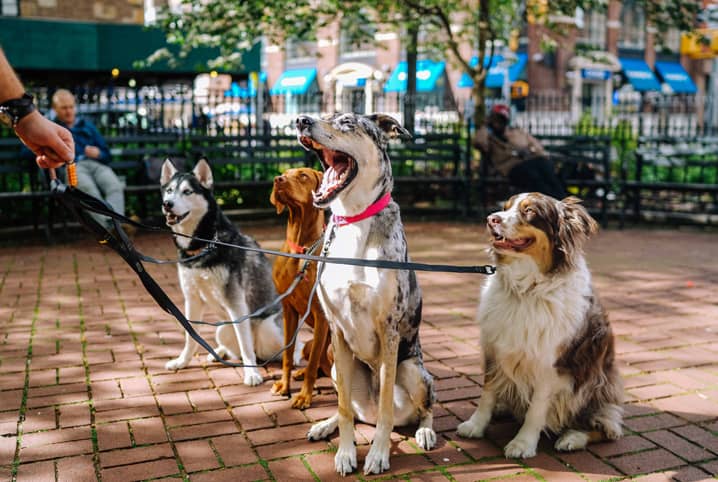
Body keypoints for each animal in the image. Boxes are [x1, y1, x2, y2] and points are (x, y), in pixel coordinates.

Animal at [161, 158, 292, 384]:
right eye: (169, 190)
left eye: (187, 192)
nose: (167, 204)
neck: (203, 245)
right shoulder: (192, 298)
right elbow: (190, 336)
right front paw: (182, 361)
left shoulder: (236, 302)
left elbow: (245, 344)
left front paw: (252, 373)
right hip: (222, 328)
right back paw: (220, 352)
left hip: (268, 330)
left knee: (275, 348)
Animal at [270, 168, 334, 408]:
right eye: (283, 173)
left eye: (303, 175)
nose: (277, 180)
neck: (300, 251)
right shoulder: (288, 309)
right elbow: (287, 355)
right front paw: (284, 385)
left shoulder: (321, 315)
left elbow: (314, 362)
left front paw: (304, 396)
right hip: (307, 343)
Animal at [296, 114, 436, 478]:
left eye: (347, 122)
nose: (301, 120)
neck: (354, 220)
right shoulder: (337, 331)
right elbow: (345, 408)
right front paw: (346, 453)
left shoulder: (388, 331)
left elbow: (386, 408)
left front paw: (378, 455)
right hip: (335, 367)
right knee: (353, 410)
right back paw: (325, 425)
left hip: (414, 372)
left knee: (424, 409)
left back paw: (425, 431)